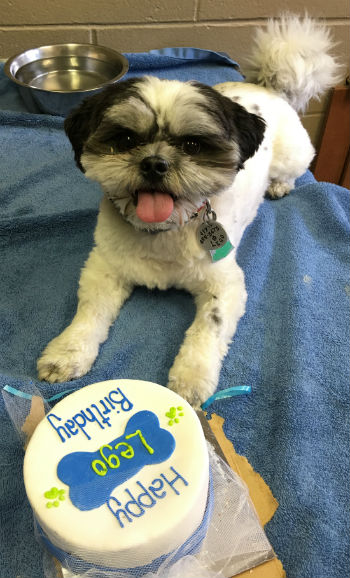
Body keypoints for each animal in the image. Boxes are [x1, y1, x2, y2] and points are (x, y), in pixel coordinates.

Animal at [37, 16, 340, 404]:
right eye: (126, 140)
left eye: (193, 145)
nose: (155, 163)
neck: (165, 231)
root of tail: (267, 87)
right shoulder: (104, 268)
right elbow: (89, 314)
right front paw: (66, 352)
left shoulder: (225, 285)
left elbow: (208, 327)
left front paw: (192, 379)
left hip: (294, 155)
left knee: (291, 170)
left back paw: (279, 185)